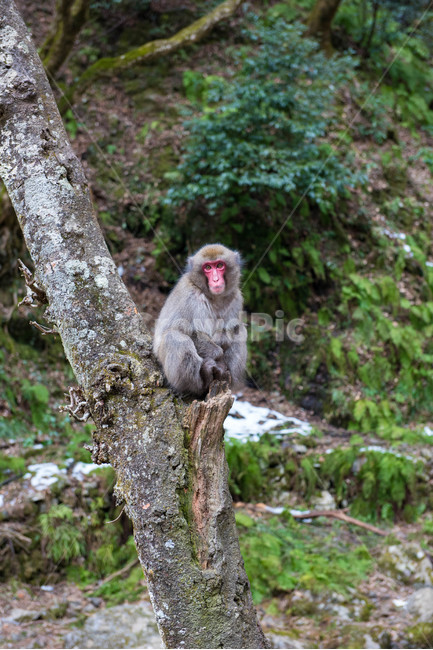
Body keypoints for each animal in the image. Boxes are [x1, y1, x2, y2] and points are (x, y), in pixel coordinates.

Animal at [153, 244, 247, 396]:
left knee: (240, 332)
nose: (215, 280)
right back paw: (201, 380)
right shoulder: (188, 296)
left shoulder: (236, 298)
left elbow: (233, 328)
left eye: (219, 265)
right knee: (174, 336)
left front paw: (222, 339)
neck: (214, 297)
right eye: (207, 267)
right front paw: (218, 352)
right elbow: (179, 329)